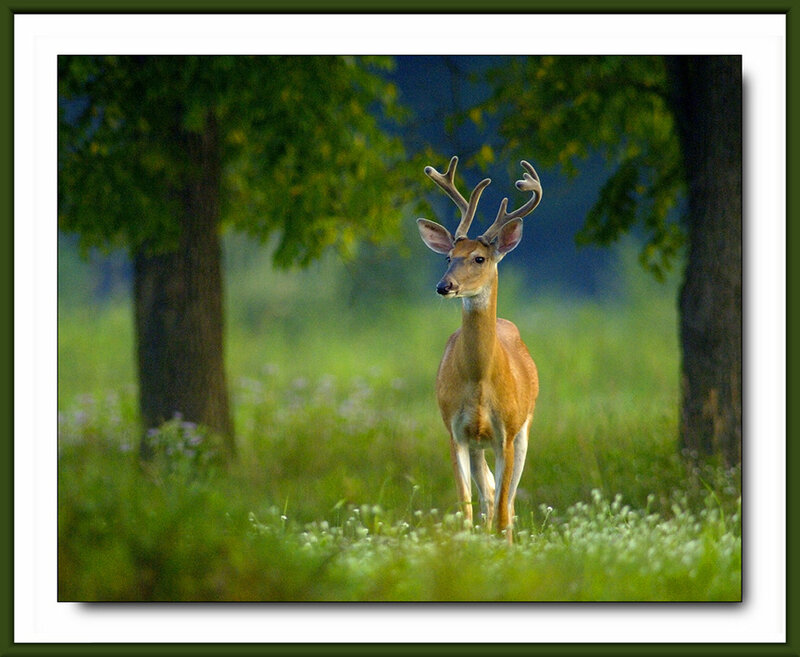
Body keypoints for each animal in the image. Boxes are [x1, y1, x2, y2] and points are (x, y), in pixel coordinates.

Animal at [417, 156, 541, 541]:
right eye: (448, 257)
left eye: (479, 259)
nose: (444, 286)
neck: (479, 380)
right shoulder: (456, 431)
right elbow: (466, 509)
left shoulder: (506, 432)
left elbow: (502, 512)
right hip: (477, 445)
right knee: (486, 495)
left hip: (524, 429)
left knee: (507, 504)